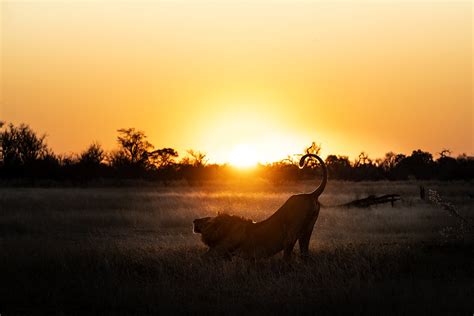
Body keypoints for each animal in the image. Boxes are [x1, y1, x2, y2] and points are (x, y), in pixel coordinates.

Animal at [193, 153, 326, 260]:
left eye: (207, 220)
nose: (194, 220)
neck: (225, 227)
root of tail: (311, 194)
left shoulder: (220, 250)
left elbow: (202, 258)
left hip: (291, 234)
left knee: (288, 257)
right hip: (307, 230)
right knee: (305, 253)